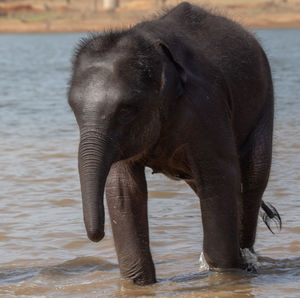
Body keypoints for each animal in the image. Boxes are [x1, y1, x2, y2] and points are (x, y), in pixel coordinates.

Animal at [67, 2, 278, 286]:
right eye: (73, 107)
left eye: (126, 109)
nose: (96, 236)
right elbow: (123, 188)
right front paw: (139, 283)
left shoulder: (206, 106)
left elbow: (219, 176)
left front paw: (224, 276)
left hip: (265, 102)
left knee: (252, 177)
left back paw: (247, 261)